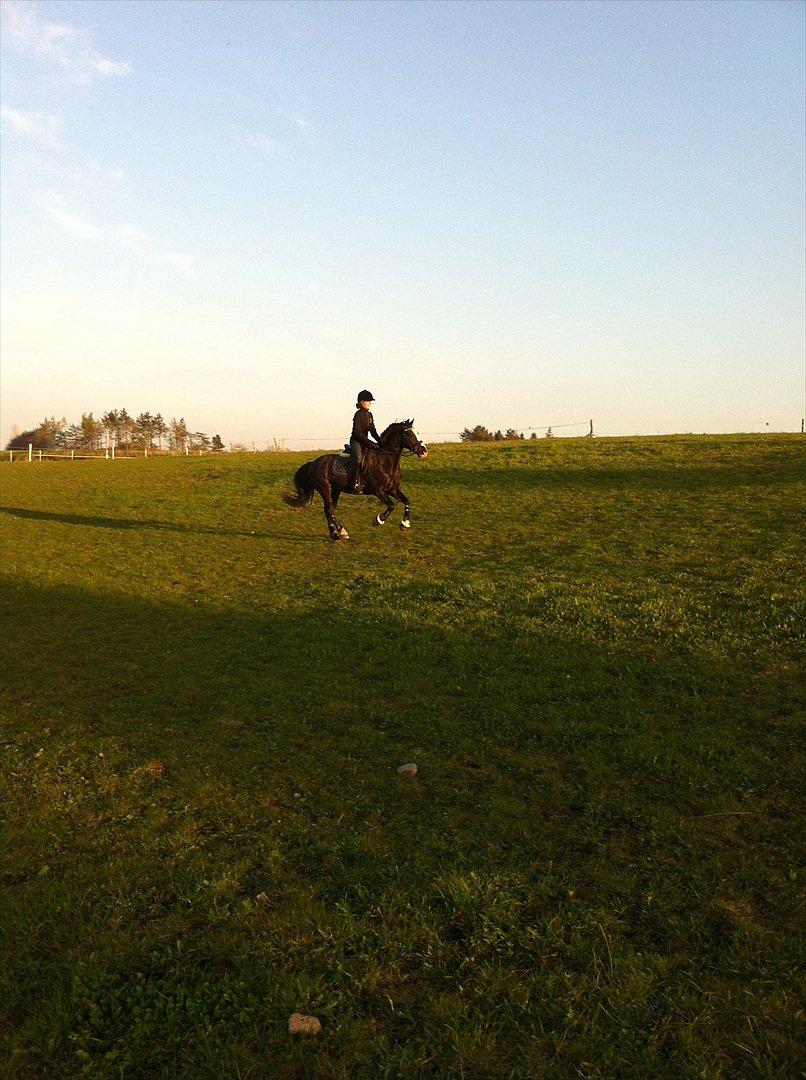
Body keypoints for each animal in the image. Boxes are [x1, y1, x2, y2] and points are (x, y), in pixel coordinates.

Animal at [283, 419, 427, 540]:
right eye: (409, 434)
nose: (424, 452)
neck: (384, 462)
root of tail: (313, 463)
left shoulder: (393, 489)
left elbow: (406, 501)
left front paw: (405, 525)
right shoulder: (377, 491)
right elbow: (391, 506)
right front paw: (378, 520)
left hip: (335, 490)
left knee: (330, 510)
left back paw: (339, 533)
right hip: (325, 489)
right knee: (328, 510)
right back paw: (338, 534)